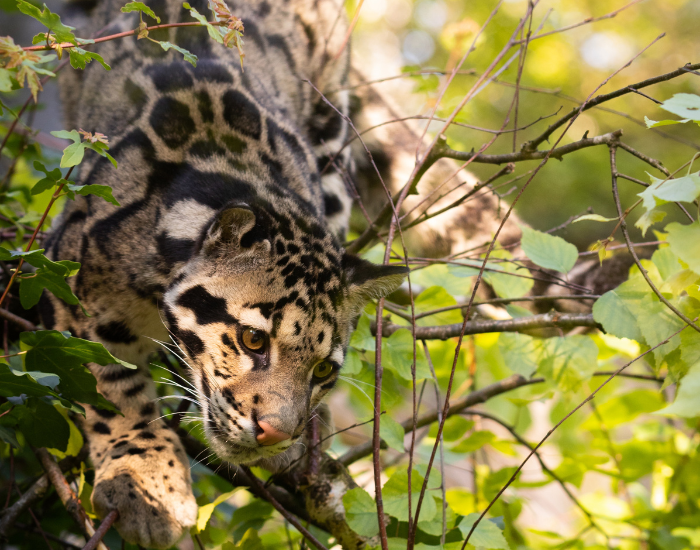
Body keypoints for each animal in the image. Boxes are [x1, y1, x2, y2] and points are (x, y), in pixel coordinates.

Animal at [41, 0, 408, 547]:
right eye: (253, 341)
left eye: (323, 370)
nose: (276, 432)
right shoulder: (67, 276)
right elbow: (110, 385)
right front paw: (145, 480)